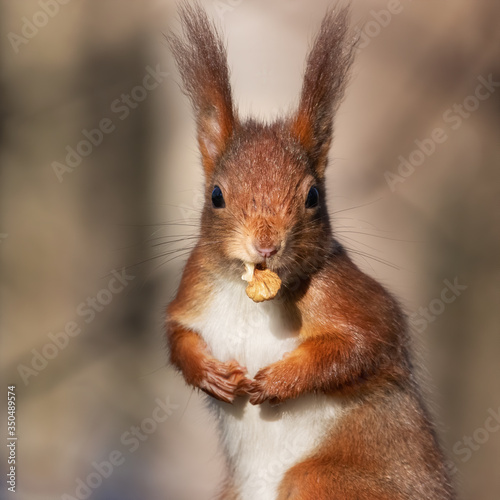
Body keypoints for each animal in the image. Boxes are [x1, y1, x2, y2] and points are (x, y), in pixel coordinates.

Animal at [166, 4, 456, 500]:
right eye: (217, 195)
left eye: (313, 196)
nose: (266, 244)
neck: (250, 297)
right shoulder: (195, 287)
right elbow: (176, 334)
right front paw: (209, 374)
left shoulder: (348, 295)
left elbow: (364, 343)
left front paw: (282, 380)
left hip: (321, 479)